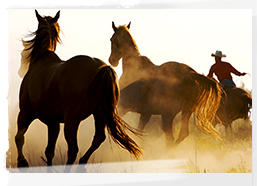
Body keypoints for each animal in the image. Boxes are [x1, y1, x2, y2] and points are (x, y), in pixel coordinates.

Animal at [14, 10, 141, 173]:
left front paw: (22, 162)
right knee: (98, 139)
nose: (19, 71)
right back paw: (82, 164)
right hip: (99, 114)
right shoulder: (53, 123)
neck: (41, 60)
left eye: (23, 53)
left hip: (72, 120)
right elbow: (49, 151)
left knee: (73, 149)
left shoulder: (25, 113)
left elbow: (19, 137)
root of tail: (102, 68)